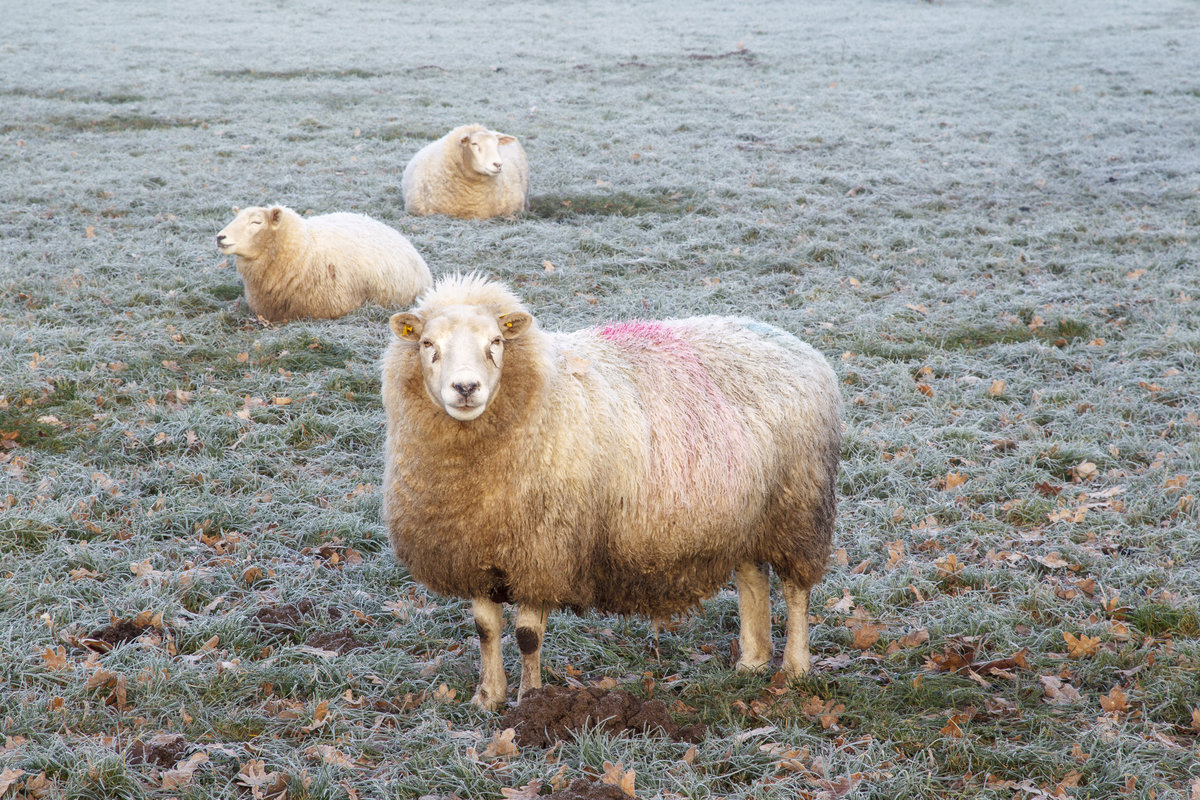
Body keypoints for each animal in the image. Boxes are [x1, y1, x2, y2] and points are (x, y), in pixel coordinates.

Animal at [379, 277, 840, 714]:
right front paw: (488, 697)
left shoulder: (543, 551)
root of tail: (792, 342)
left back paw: (795, 668)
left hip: (798, 503)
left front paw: (530, 702)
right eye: (427, 344)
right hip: (745, 511)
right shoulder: (476, 550)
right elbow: (485, 630)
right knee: (752, 575)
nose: (465, 387)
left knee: (795, 590)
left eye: (495, 342)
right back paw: (753, 661)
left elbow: (527, 636)